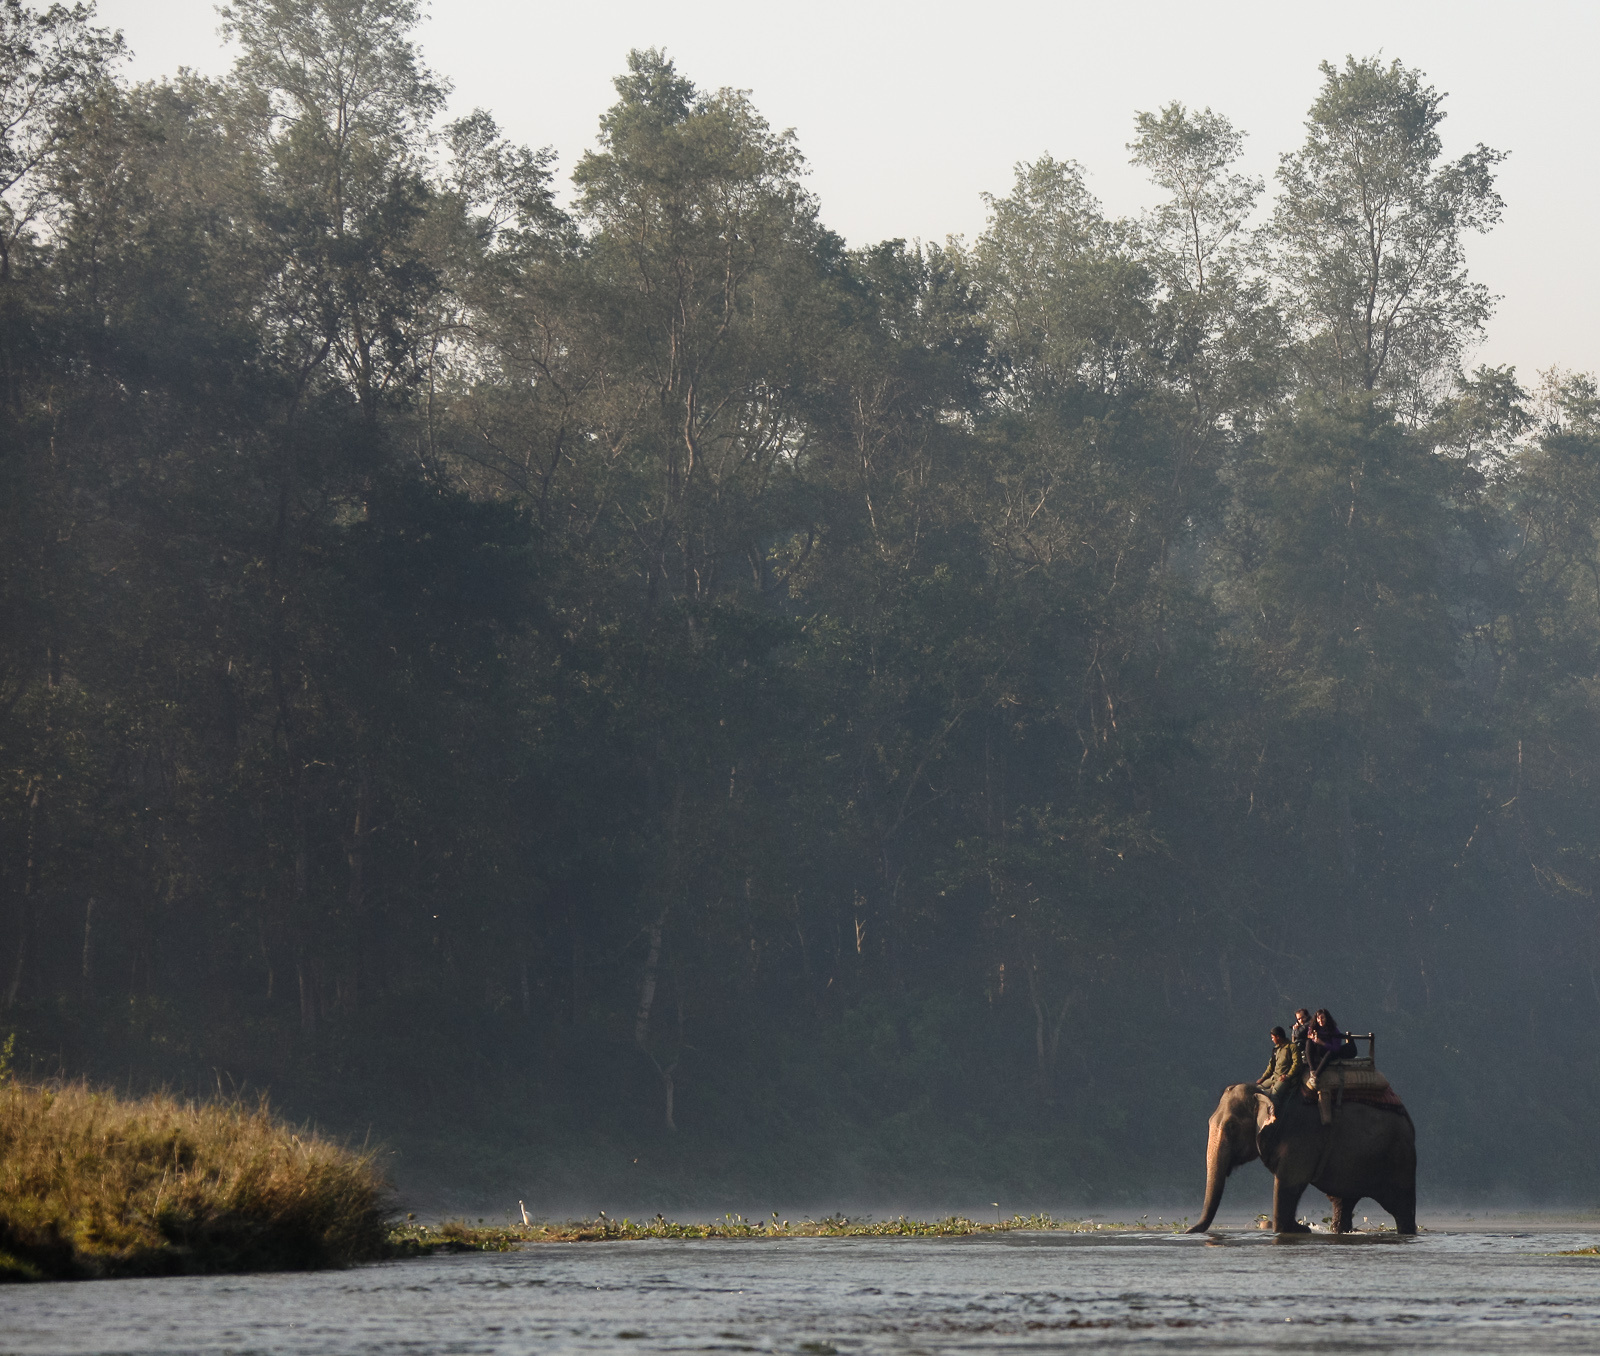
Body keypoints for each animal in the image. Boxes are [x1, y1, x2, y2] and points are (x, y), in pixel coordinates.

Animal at [1185, 1082, 1416, 1234]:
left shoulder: (1301, 1137)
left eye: (1232, 1126)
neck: (1267, 1092)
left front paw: (1296, 1229)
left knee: (1402, 1209)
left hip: (1399, 1158)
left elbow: (1288, 1182)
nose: (1188, 1231)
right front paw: (1301, 1228)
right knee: (1342, 1202)